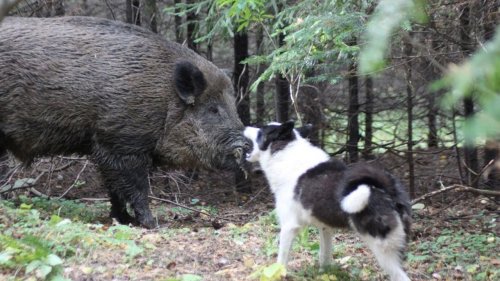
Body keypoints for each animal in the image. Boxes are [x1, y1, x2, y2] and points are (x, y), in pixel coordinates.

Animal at [244, 121, 412, 280]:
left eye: (260, 132)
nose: (244, 127)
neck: (284, 153)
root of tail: (386, 190)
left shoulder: (288, 227)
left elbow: (281, 261)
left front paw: (277, 274)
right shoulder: (325, 228)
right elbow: (324, 256)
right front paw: (324, 274)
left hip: (382, 250)